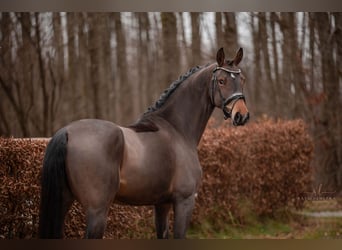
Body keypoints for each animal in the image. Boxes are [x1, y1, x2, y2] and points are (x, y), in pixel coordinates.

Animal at [38, 47, 250, 238]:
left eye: (242, 80)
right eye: (221, 81)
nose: (242, 115)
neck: (177, 129)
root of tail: (66, 132)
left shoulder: (162, 203)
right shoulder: (184, 201)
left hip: (63, 202)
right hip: (97, 211)